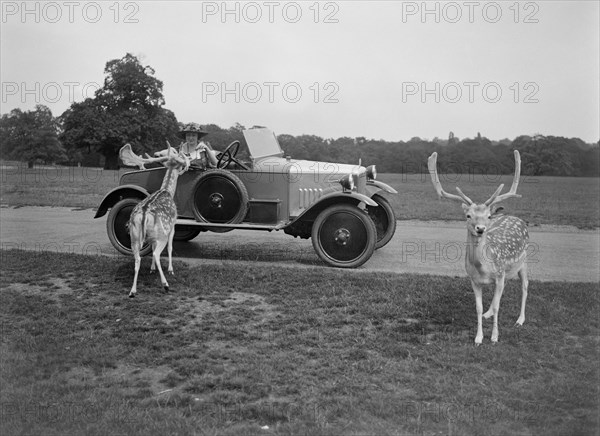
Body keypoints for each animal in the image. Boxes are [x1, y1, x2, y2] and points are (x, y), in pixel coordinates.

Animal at [126, 145, 190, 298]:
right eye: (182, 165)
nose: (187, 167)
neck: (167, 191)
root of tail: (144, 214)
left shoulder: (151, 237)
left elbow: (152, 246)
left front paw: (152, 269)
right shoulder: (173, 226)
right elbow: (170, 247)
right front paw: (171, 269)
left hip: (135, 236)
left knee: (138, 259)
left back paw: (132, 291)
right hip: (162, 234)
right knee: (157, 253)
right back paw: (166, 285)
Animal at [426, 152, 528, 346]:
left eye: (488, 216)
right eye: (468, 215)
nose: (480, 228)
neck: (483, 269)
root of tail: (517, 218)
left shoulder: (499, 274)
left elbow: (498, 306)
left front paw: (494, 337)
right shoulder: (474, 280)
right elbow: (479, 308)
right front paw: (478, 338)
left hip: (525, 261)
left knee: (525, 286)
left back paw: (520, 320)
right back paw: (490, 314)